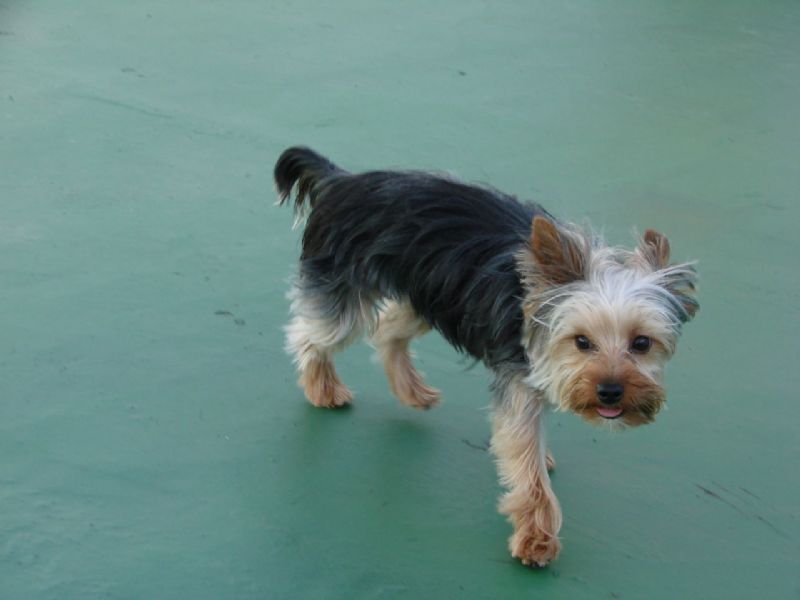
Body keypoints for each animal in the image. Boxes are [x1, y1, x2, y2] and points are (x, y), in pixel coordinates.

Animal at [275, 147, 698, 567]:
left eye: (641, 343)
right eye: (581, 341)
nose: (610, 391)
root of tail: (342, 181)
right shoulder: (520, 384)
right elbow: (527, 468)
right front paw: (537, 541)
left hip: (429, 295)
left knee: (387, 330)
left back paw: (412, 391)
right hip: (344, 294)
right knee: (310, 336)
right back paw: (323, 388)